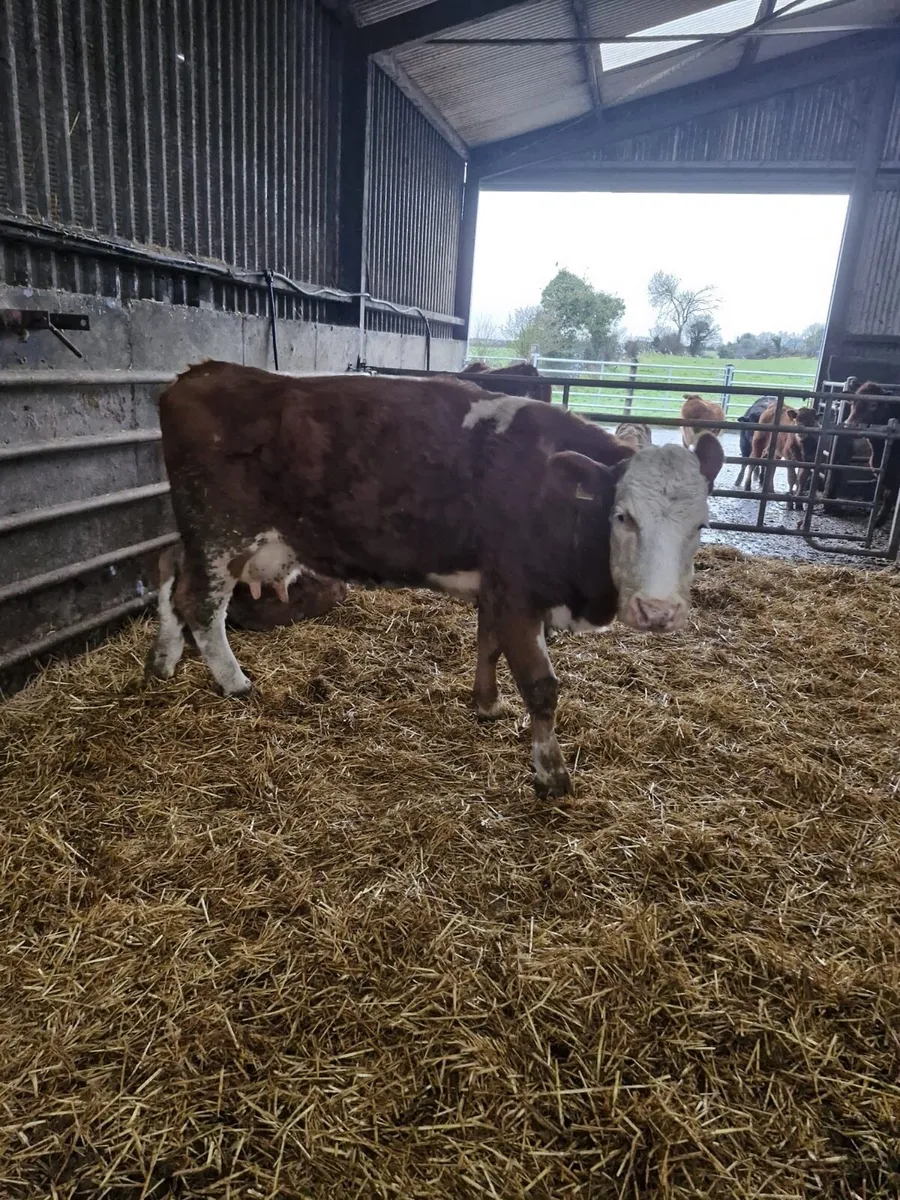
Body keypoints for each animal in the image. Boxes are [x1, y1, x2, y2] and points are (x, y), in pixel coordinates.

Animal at [145, 361, 724, 799]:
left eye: (701, 524)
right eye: (623, 517)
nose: (659, 611)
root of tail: (200, 374)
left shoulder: (497, 588)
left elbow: (488, 645)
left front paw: (486, 705)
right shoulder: (518, 591)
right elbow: (541, 687)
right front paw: (550, 773)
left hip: (202, 536)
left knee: (169, 573)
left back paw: (162, 662)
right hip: (220, 534)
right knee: (200, 603)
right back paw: (234, 682)